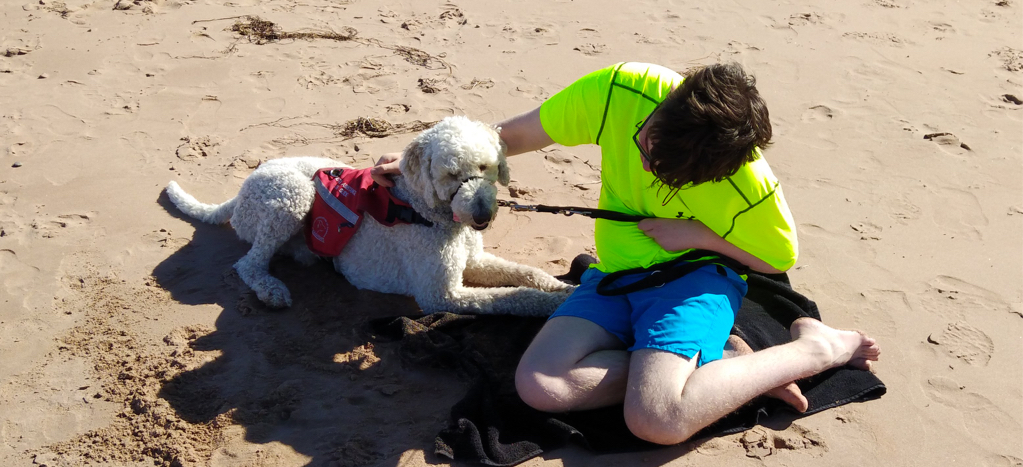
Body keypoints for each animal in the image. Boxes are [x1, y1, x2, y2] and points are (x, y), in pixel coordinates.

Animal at [163, 114, 572, 314]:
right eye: (451, 174)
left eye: (485, 167)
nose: (482, 215)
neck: (424, 209)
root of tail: (240, 191)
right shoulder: (441, 295)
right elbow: (513, 296)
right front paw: (557, 304)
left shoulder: (474, 260)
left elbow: (526, 275)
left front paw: (562, 287)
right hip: (290, 196)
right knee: (248, 263)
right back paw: (271, 289)